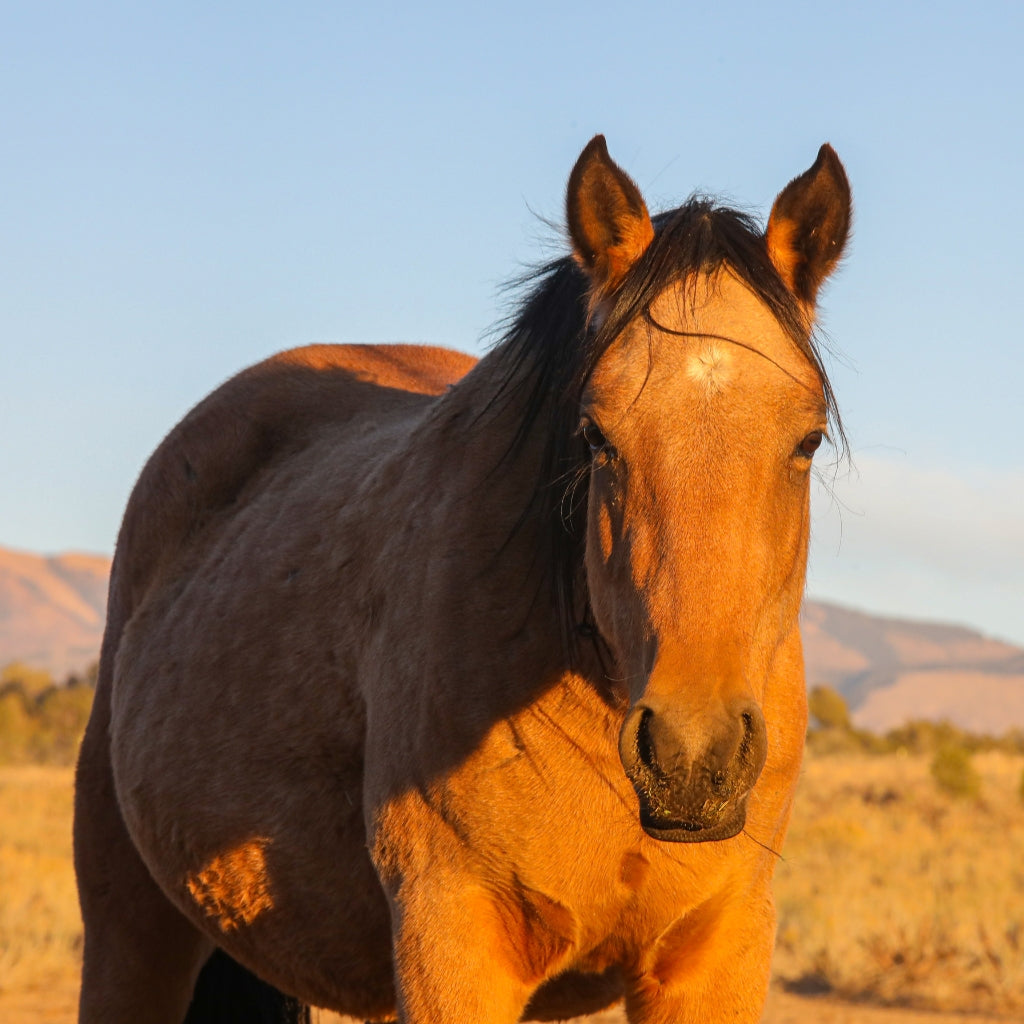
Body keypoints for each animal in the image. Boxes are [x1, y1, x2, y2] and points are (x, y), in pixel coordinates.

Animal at [75, 138, 851, 1024]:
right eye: (596, 435)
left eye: (807, 440)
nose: (693, 757)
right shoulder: (453, 943)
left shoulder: (715, 957)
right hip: (132, 934)